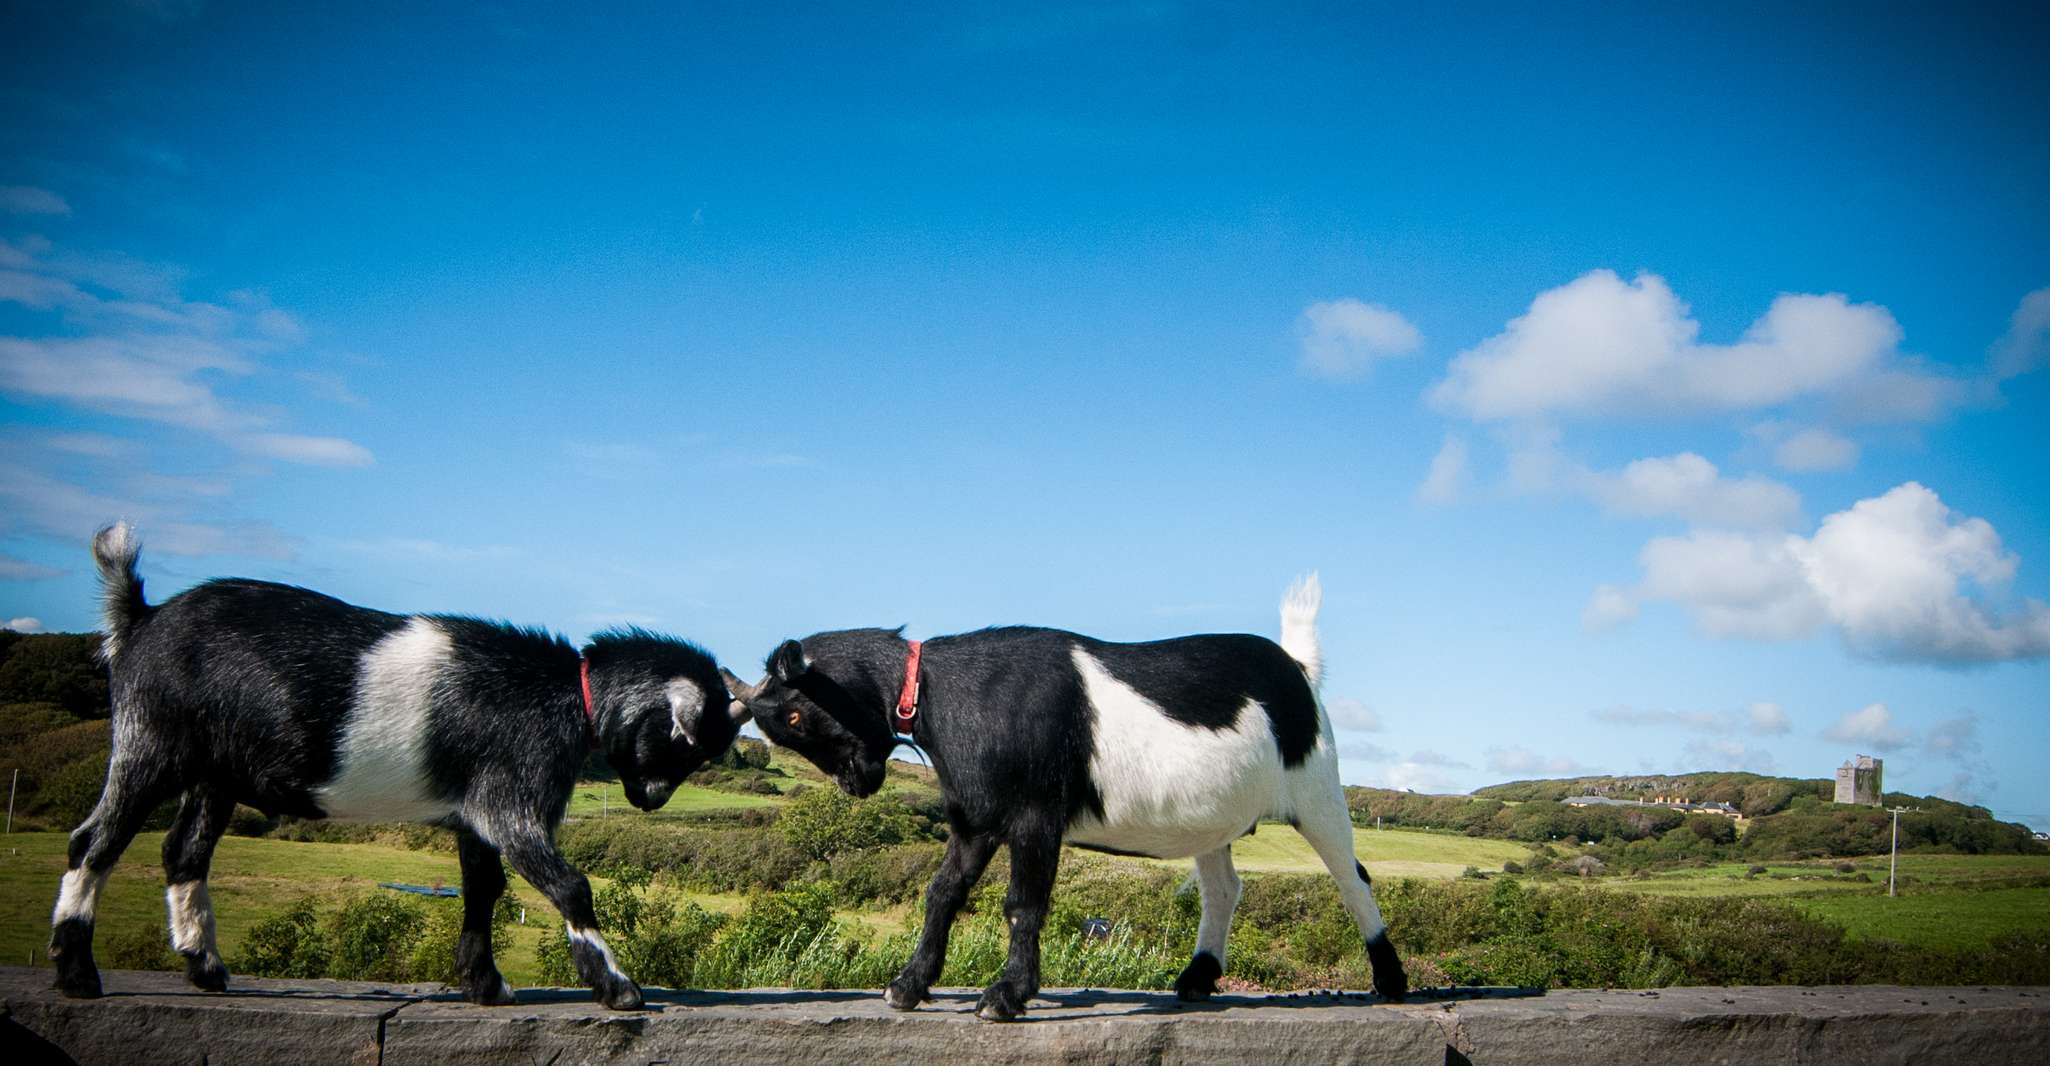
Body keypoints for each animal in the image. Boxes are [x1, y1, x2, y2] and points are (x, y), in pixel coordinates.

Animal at [49, 522, 746, 1008]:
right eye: (689, 745)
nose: (651, 801)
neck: (570, 693)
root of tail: (139, 619)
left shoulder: (473, 815)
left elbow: (484, 891)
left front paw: (486, 986)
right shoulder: (510, 802)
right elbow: (569, 884)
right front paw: (619, 987)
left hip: (214, 773)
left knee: (183, 853)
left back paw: (206, 967)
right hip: (150, 741)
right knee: (95, 841)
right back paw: (77, 972)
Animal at [725, 574, 1410, 1025]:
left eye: (795, 713)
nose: (858, 783)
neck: (944, 692)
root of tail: (1297, 664)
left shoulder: (1034, 815)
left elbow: (1022, 903)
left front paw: (1004, 998)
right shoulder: (975, 816)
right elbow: (942, 894)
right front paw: (908, 986)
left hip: (1318, 788)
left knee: (1352, 877)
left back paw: (1391, 979)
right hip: (1214, 821)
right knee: (1223, 888)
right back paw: (1196, 979)